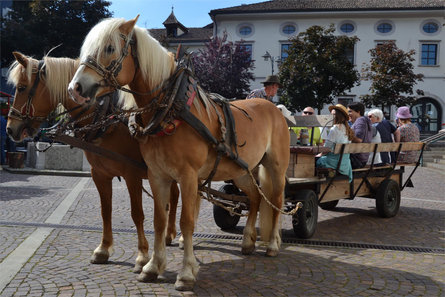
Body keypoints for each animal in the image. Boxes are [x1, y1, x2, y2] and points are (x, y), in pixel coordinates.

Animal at [6, 52, 180, 272]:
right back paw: (169, 234)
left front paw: (142, 255)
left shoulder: (132, 175)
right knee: (173, 197)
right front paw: (103, 249)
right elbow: (105, 211)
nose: (10, 129)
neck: (105, 116)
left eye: (21, 87)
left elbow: (137, 214)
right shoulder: (99, 175)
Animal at [66, 15, 288, 290]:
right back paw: (248, 241)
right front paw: (153, 266)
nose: (75, 88)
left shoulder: (188, 176)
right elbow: (159, 220)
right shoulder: (157, 175)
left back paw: (273, 244)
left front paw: (186, 272)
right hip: (241, 170)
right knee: (256, 199)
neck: (171, 108)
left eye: (109, 48)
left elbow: (186, 221)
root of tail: (274, 108)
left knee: (276, 201)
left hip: (276, 167)